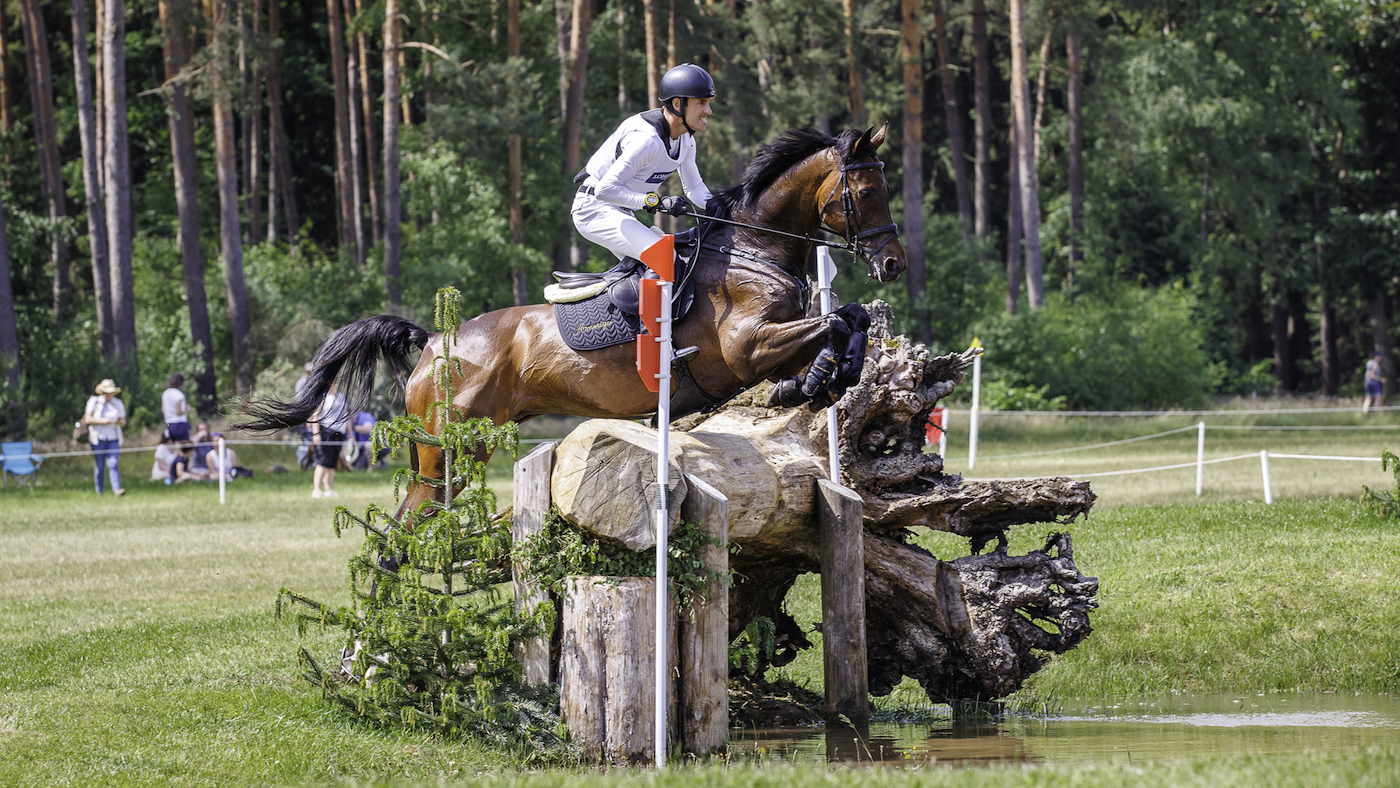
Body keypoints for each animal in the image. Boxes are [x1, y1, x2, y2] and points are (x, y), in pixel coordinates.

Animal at [240, 124, 906, 520]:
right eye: (865, 191)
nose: (893, 263)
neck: (753, 250)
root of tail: (434, 343)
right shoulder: (747, 350)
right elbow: (832, 325)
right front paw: (818, 378)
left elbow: (847, 320)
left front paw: (822, 378)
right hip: (451, 451)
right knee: (406, 528)